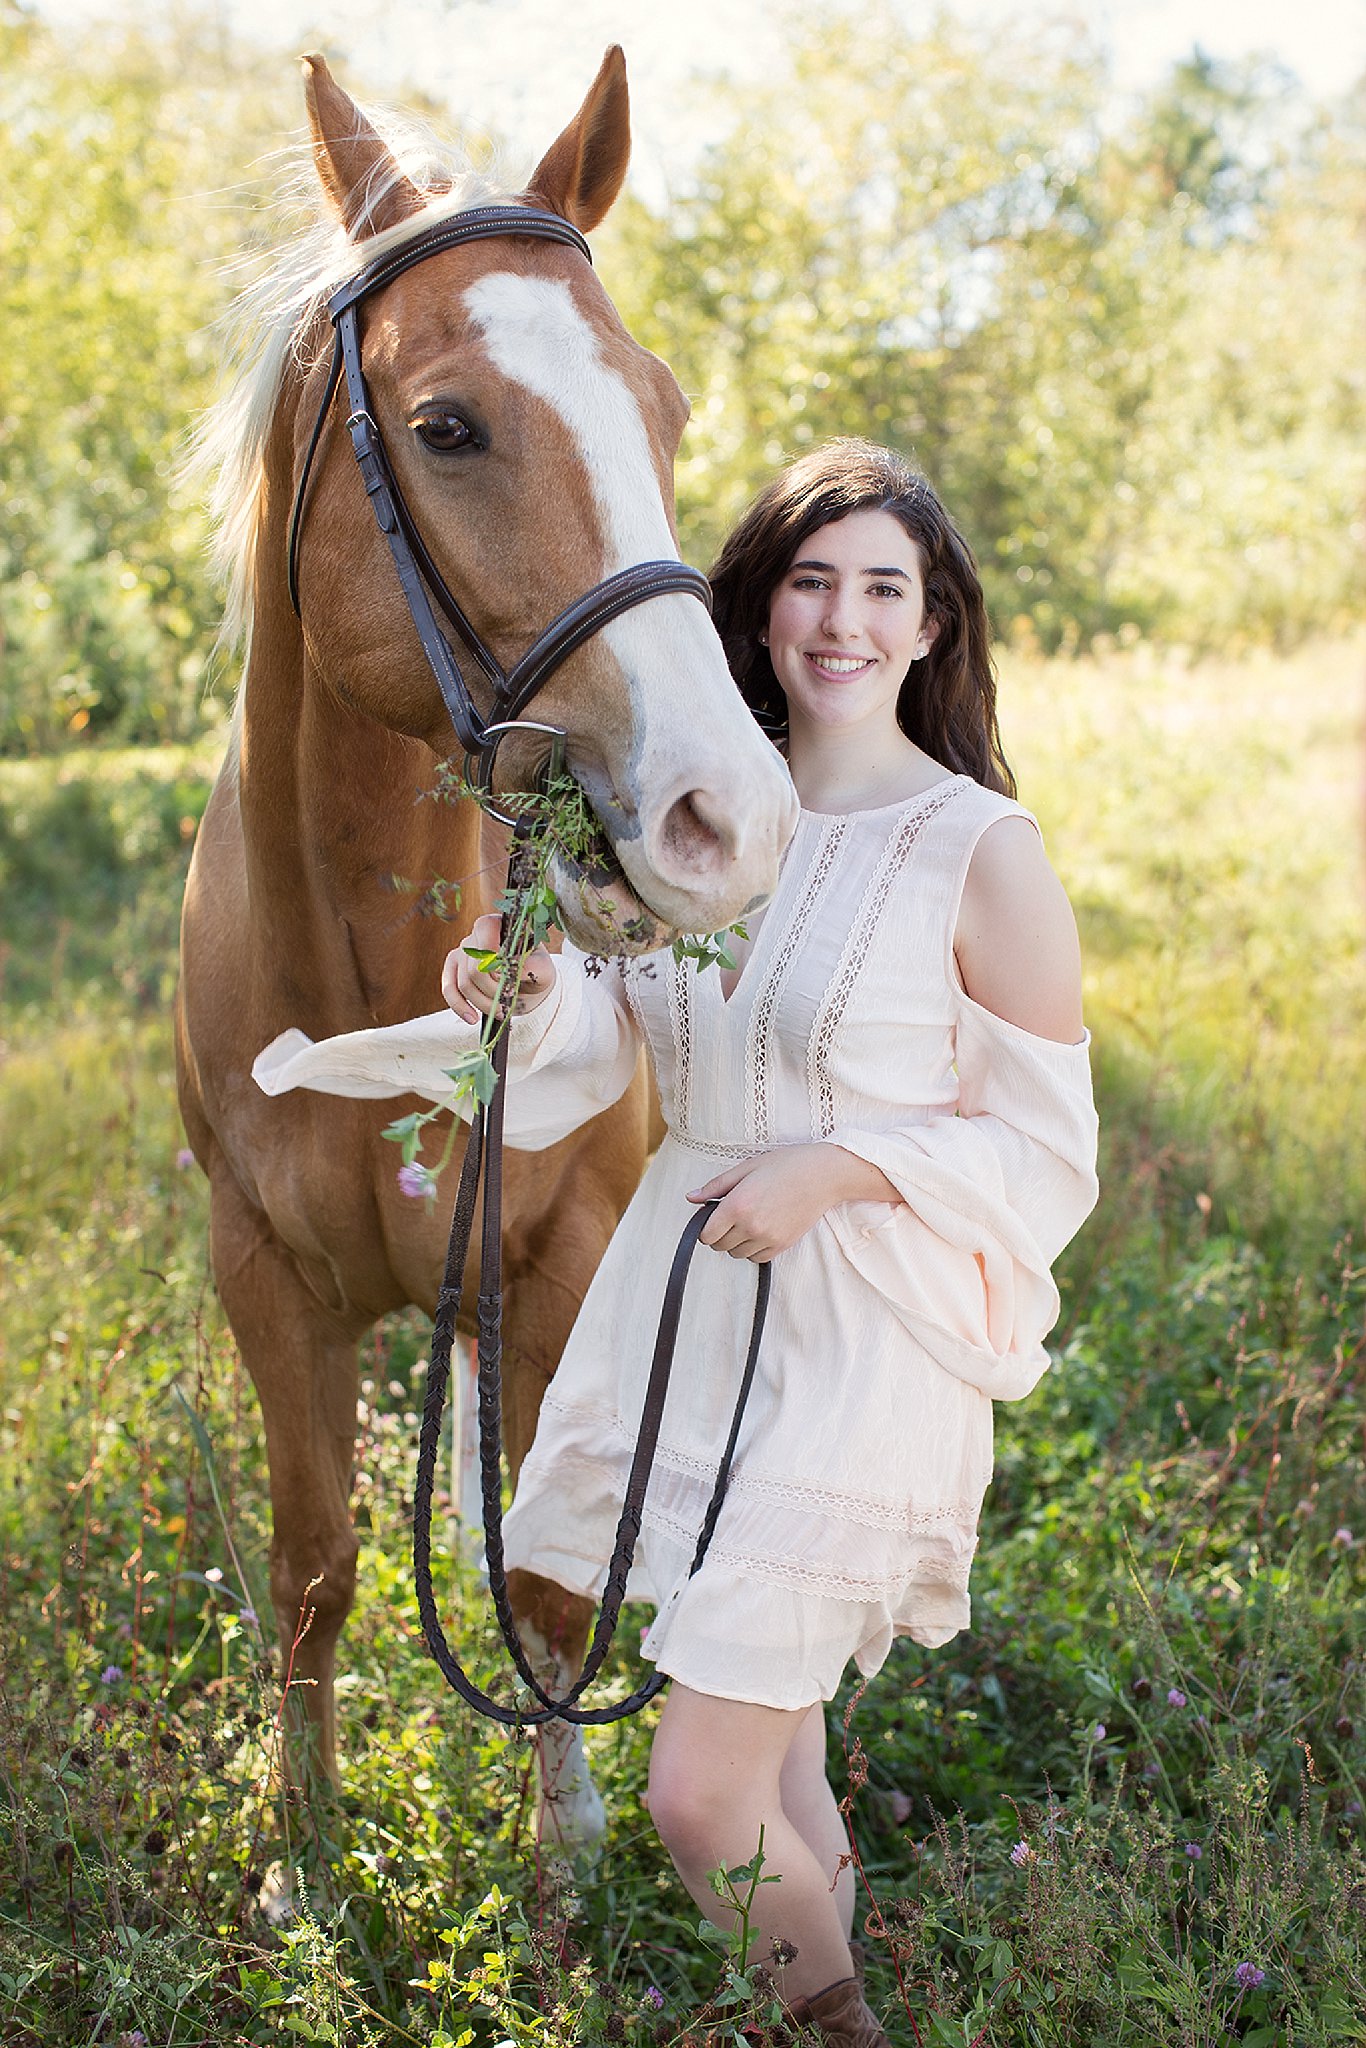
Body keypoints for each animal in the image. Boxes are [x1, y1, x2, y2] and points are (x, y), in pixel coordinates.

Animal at [179, 48, 802, 1851]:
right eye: (446, 426)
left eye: (663, 409)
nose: (726, 813)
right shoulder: (262, 1279)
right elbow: (318, 1568)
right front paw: (300, 1845)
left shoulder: (564, 1255)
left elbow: (543, 1578)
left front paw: (567, 1833)